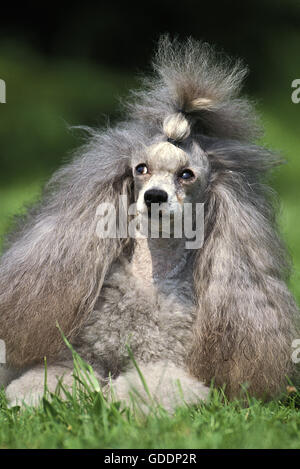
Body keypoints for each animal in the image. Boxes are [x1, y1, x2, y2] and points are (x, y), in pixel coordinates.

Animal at [0, 37, 300, 410]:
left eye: (186, 175)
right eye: (140, 169)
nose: (154, 197)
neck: (151, 273)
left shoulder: (168, 364)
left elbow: (146, 386)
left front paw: (111, 399)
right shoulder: (83, 353)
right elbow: (53, 377)